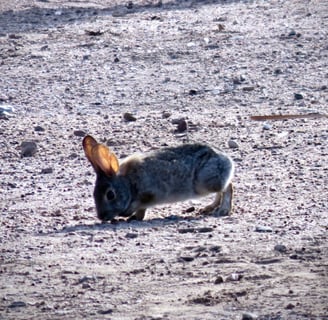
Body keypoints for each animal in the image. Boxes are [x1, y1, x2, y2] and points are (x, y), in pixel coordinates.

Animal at [83, 134, 234, 221]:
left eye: (110, 195)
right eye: (94, 194)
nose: (101, 217)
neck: (129, 184)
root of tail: (226, 159)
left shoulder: (147, 195)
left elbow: (140, 208)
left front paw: (131, 217)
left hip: (205, 183)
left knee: (227, 187)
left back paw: (223, 210)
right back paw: (209, 208)